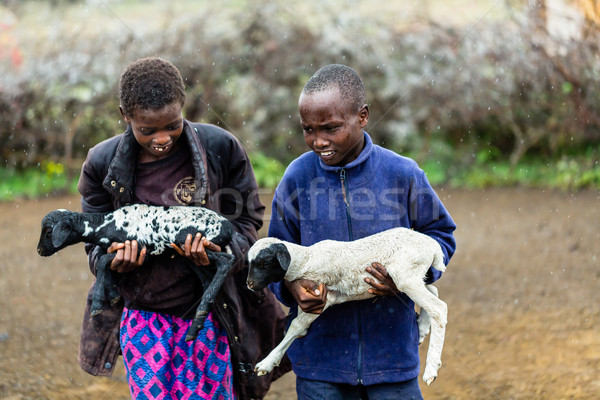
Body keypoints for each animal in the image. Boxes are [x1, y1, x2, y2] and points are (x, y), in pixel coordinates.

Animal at [36, 203, 236, 340]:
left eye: (48, 232)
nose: (39, 251)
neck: (106, 225)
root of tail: (228, 227)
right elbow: (104, 261)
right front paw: (114, 296)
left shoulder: (141, 249)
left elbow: (102, 261)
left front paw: (97, 305)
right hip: (189, 253)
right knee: (208, 277)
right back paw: (198, 322)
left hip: (195, 241)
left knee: (227, 261)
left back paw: (197, 321)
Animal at [246, 228, 448, 388]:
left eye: (265, 263)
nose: (249, 284)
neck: (305, 259)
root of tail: (433, 247)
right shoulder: (320, 297)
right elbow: (298, 326)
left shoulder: (322, 293)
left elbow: (295, 326)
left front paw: (266, 363)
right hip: (413, 277)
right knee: (434, 291)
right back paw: (422, 330)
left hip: (405, 275)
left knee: (438, 308)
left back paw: (431, 369)